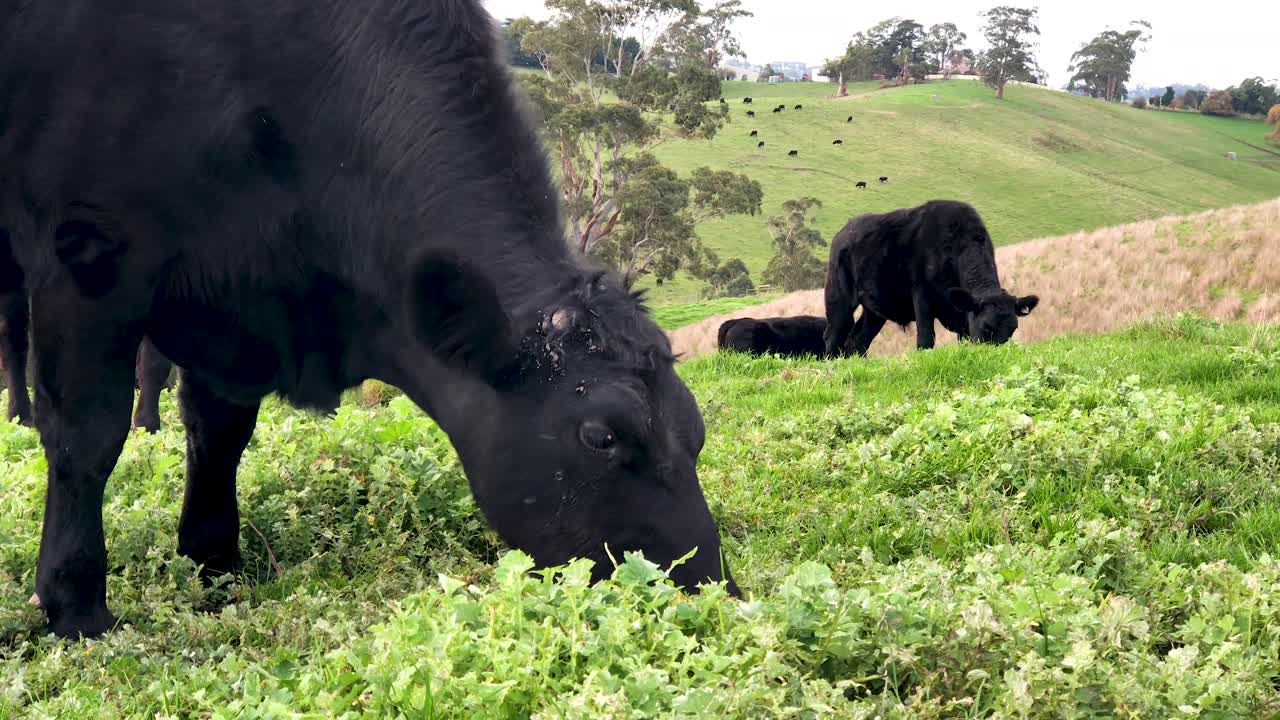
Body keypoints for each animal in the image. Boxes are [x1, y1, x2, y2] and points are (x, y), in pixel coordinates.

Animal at [0, 0, 737, 640]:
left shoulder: (235, 301)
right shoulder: (87, 254)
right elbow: (87, 437)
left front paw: (217, 568)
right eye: (600, 437)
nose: (711, 594)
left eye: (695, 431)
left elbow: (218, 438)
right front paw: (75, 604)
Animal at [823, 200, 1039, 357]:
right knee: (834, 336)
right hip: (838, 297)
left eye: (1013, 329)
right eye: (987, 327)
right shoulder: (922, 295)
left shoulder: (963, 312)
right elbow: (926, 339)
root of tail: (845, 230)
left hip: (875, 310)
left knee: (857, 341)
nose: (999, 356)